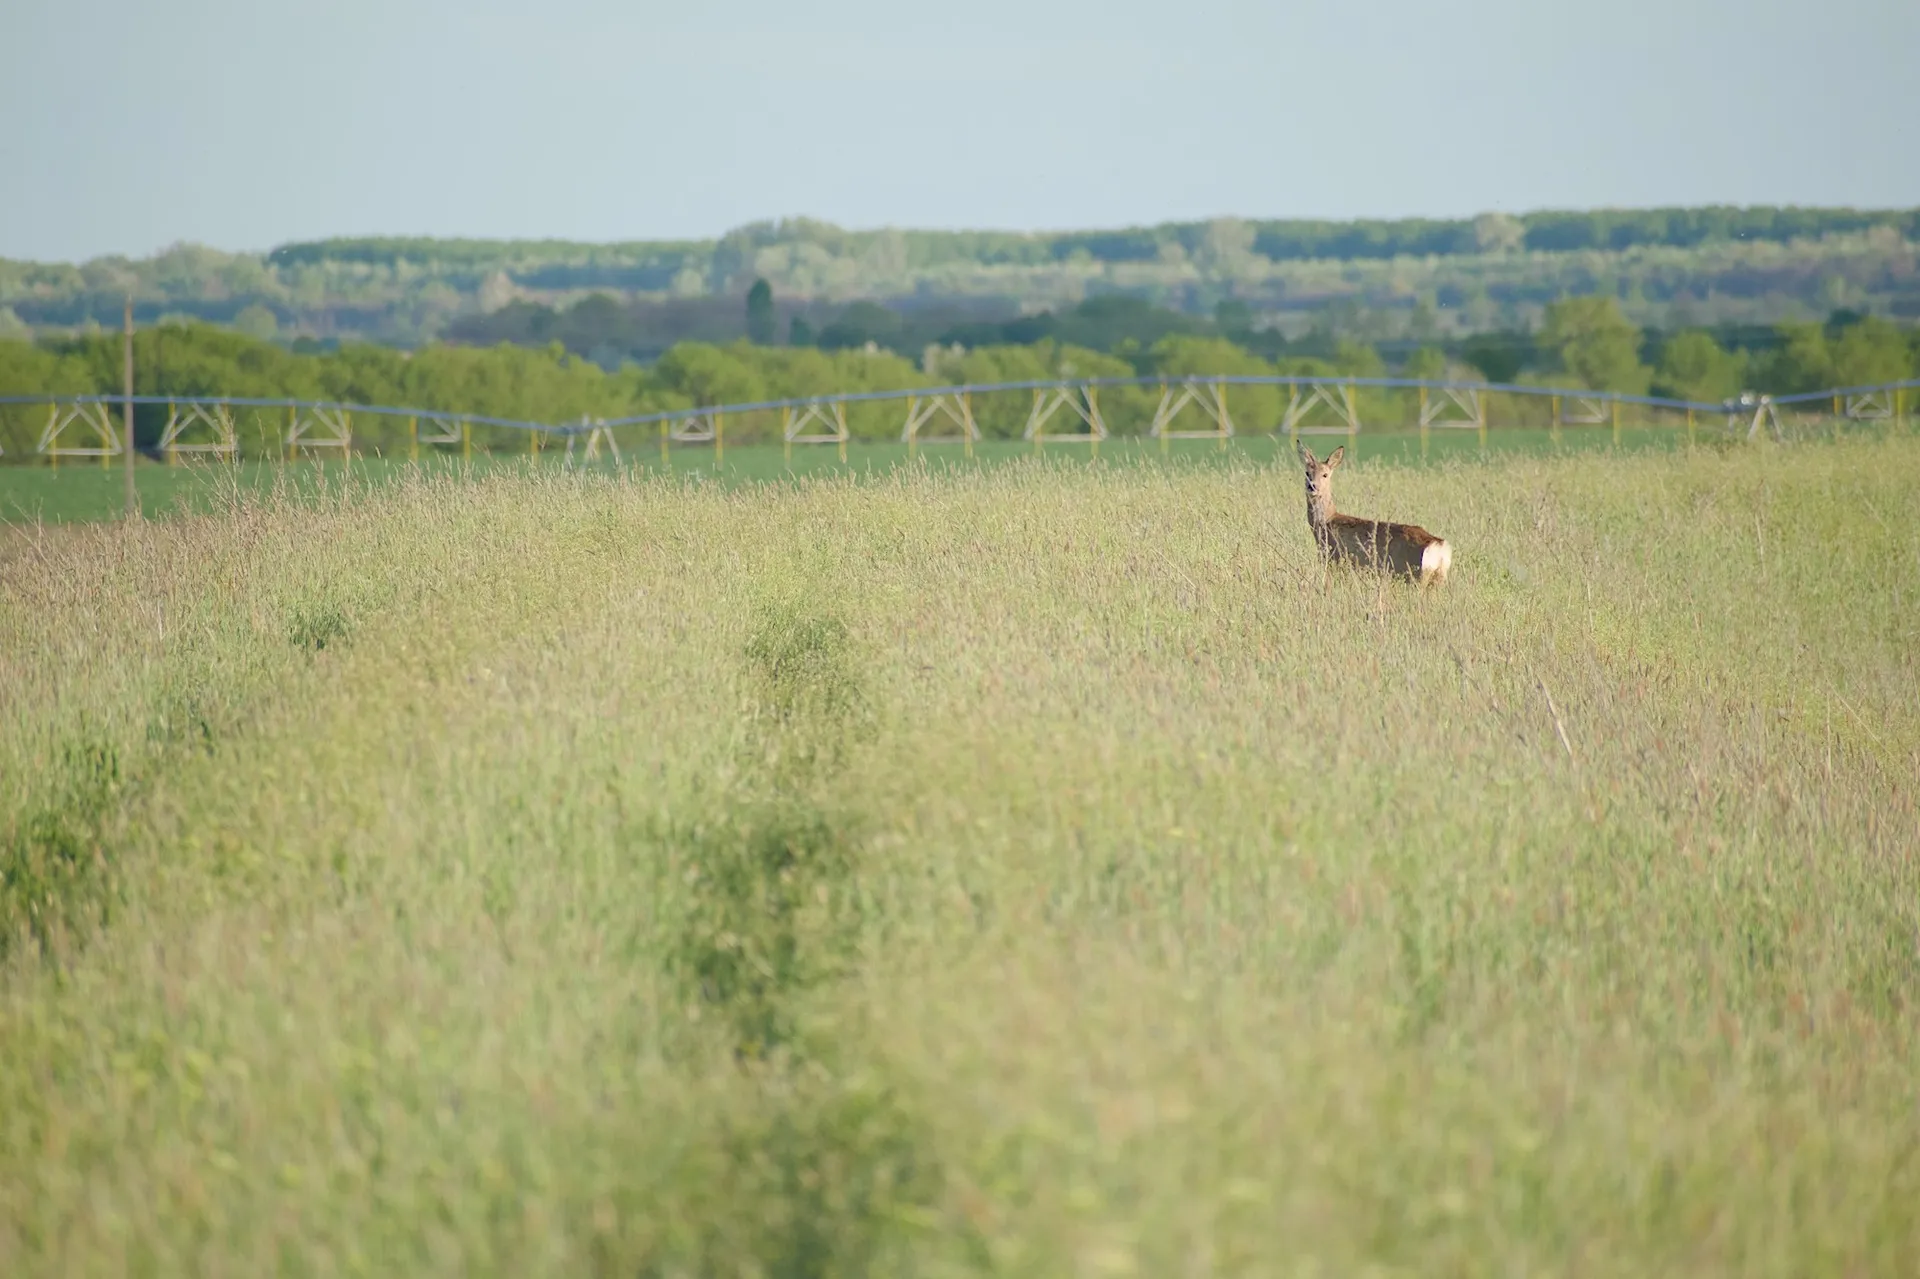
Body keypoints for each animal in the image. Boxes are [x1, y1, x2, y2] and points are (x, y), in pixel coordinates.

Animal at [1297, 441, 1443, 583]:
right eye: (1307, 472)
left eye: (1325, 474)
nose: (1312, 486)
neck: (1327, 521)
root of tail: (1439, 546)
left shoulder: (1334, 560)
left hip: (1414, 575)